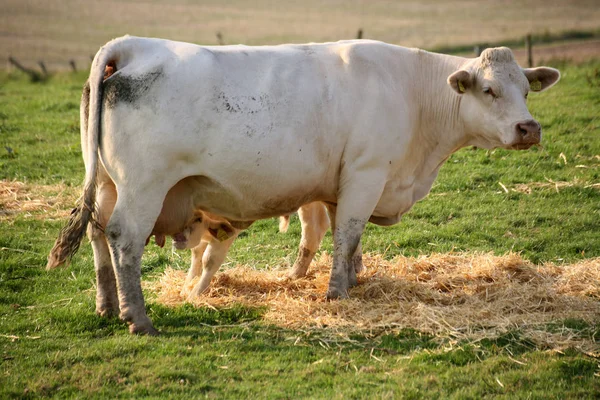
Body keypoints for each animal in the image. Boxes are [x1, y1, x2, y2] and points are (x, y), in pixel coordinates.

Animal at [47, 36, 556, 334]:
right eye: (489, 90)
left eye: (525, 90)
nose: (529, 128)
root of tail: (133, 45)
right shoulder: (367, 174)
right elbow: (348, 234)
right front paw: (337, 294)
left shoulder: (339, 185)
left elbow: (345, 239)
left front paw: (353, 279)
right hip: (144, 187)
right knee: (123, 239)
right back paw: (138, 319)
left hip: (107, 184)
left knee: (97, 233)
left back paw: (106, 306)